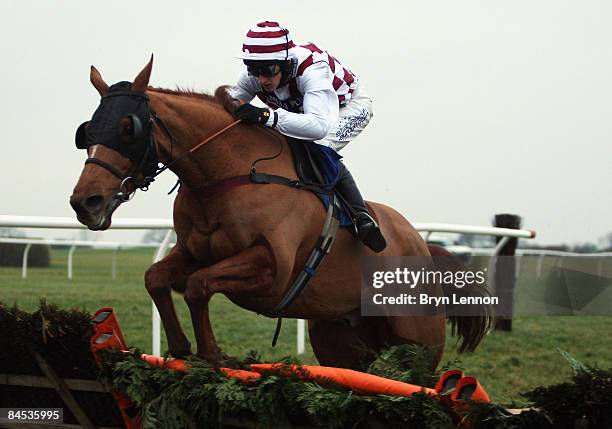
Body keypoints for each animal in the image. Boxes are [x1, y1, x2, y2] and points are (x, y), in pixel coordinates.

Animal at [69, 57, 490, 368]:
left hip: (420, 342)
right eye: (88, 131)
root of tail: (424, 248)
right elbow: (156, 277)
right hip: (340, 339)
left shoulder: (272, 268)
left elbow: (198, 285)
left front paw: (214, 353)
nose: (85, 202)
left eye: (128, 128)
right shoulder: (193, 251)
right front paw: (182, 347)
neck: (232, 173)